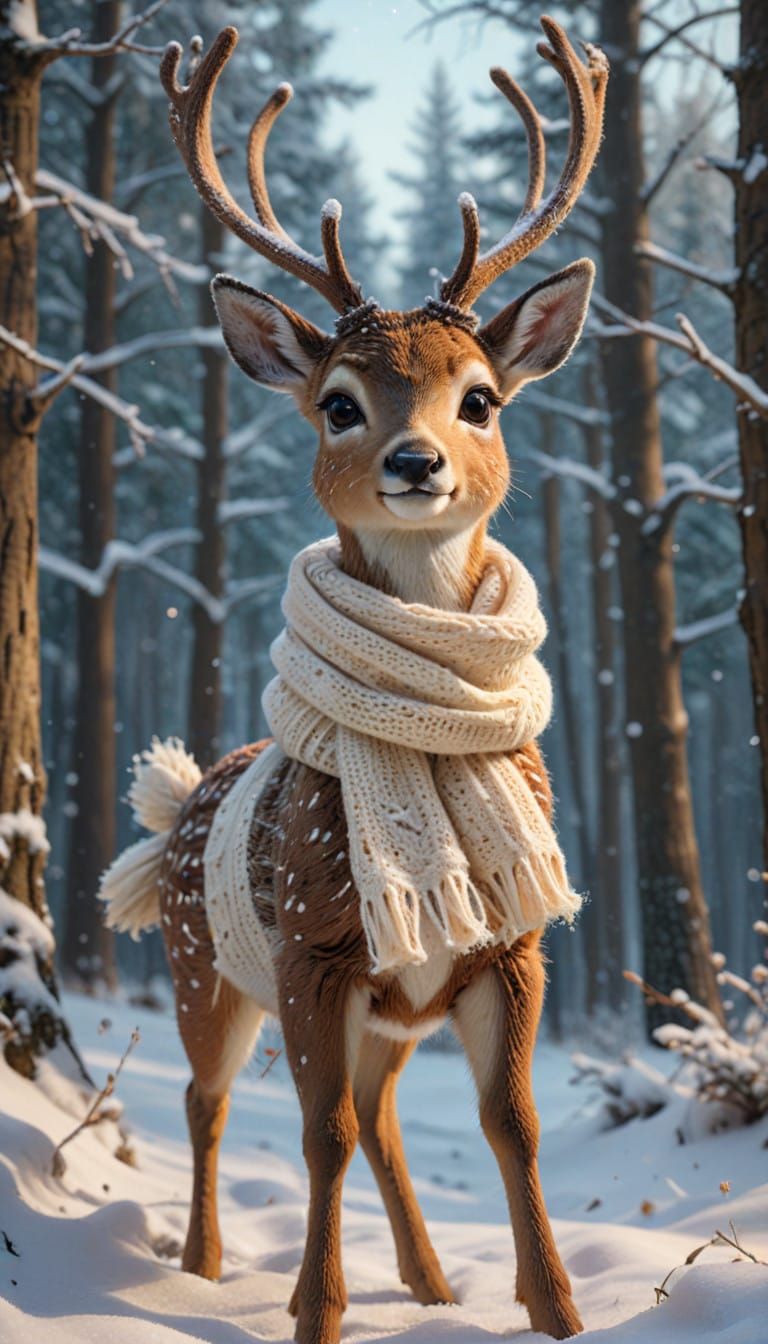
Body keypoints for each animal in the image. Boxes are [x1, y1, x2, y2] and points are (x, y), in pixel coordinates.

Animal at [100, 16, 608, 1344]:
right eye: (337, 403)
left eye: (480, 395)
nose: (416, 460)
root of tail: (180, 796)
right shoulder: (313, 947)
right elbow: (315, 1135)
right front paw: (315, 1314)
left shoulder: (505, 947)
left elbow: (513, 1125)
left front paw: (556, 1310)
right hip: (202, 962)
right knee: (212, 1103)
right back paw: (208, 1268)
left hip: (393, 1000)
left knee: (379, 1116)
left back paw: (429, 1282)